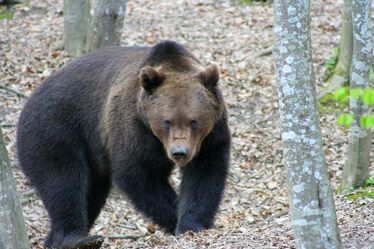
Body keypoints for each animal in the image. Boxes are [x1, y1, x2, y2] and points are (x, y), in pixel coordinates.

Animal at [17, 41, 231, 249]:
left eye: (193, 121)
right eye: (167, 121)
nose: (179, 152)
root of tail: (28, 101)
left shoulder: (211, 134)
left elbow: (205, 173)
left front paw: (192, 224)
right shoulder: (134, 126)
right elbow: (138, 173)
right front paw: (174, 218)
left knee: (92, 193)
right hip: (55, 130)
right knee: (64, 182)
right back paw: (76, 239)